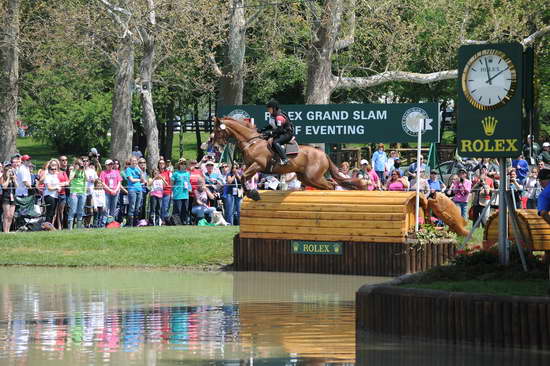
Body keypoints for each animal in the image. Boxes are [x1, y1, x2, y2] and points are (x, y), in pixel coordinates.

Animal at [213, 118, 364, 197]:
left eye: (218, 130)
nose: (215, 148)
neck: (252, 142)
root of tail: (323, 154)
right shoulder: (250, 166)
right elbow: (242, 177)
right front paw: (248, 192)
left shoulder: (257, 165)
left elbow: (243, 176)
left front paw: (252, 194)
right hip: (306, 178)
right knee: (329, 184)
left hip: (313, 177)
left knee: (331, 185)